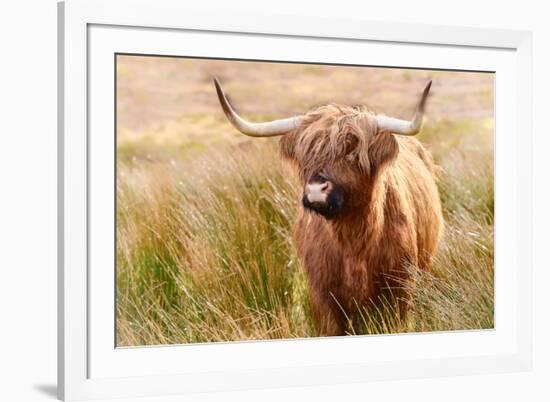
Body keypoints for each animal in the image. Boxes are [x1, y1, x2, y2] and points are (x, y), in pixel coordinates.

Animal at [215, 78, 444, 336]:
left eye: (352, 151)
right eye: (306, 154)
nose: (316, 189)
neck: (353, 238)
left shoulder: (400, 287)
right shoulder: (323, 294)